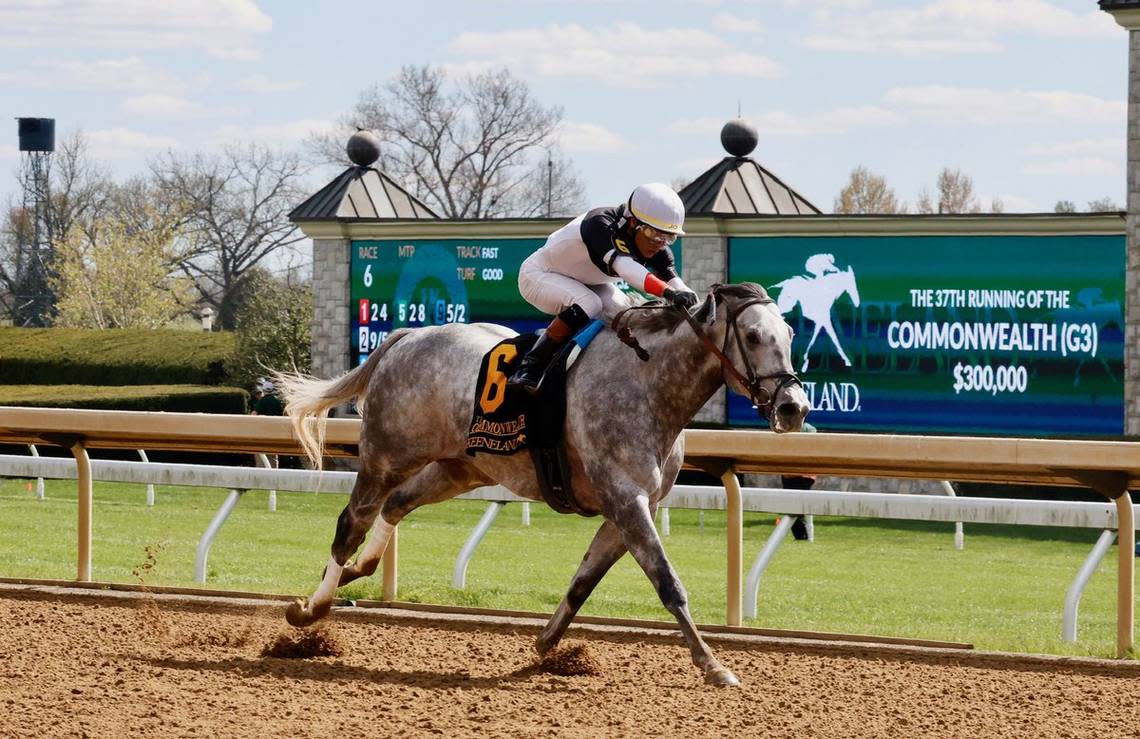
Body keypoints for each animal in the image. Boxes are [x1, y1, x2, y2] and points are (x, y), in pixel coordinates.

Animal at [275, 282, 811, 688]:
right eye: (753, 335)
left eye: (788, 333)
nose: (794, 408)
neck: (649, 385)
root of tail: (407, 336)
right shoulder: (627, 499)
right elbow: (668, 584)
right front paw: (714, 665)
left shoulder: (629, 508)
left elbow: (583, 581)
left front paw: (548, 646)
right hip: (388, 454)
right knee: (352, 521)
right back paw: (312, 608)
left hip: (460, 467)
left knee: (396, 507)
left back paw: (357, 571)